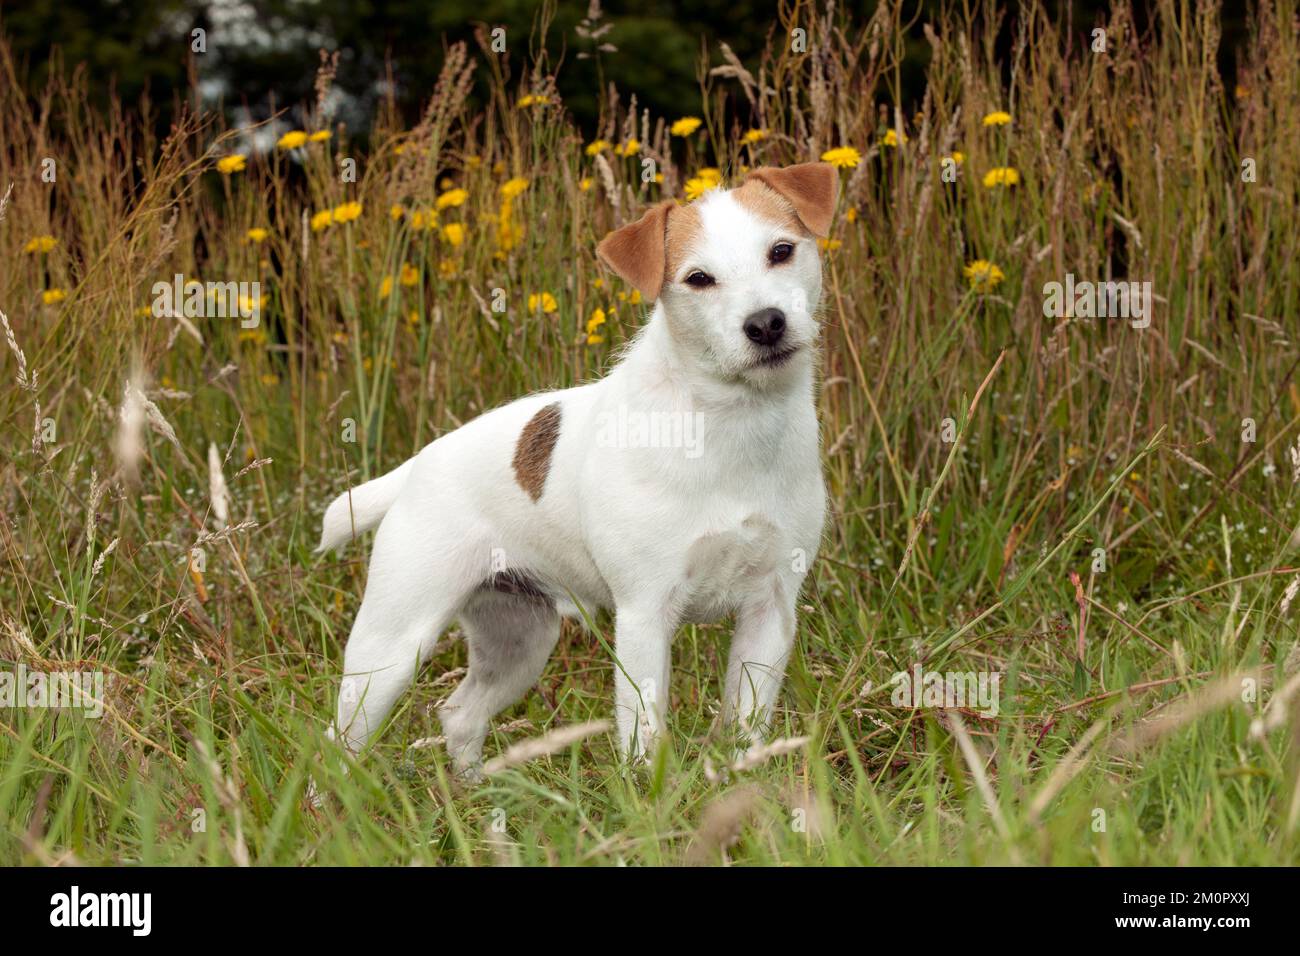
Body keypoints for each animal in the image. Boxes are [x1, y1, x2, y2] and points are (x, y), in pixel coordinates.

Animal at [319, 162, 837, 780]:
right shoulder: (644, 614)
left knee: (460, 714)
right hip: (390, 651)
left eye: (781, 250)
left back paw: (476, 793)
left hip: (519, 640)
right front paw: (648, 794)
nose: (765, 324)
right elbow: (642, 731)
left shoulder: (770, 607)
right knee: (337, 742)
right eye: (698, 279)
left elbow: (747, 725)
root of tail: (417, 466)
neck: (731, 422)